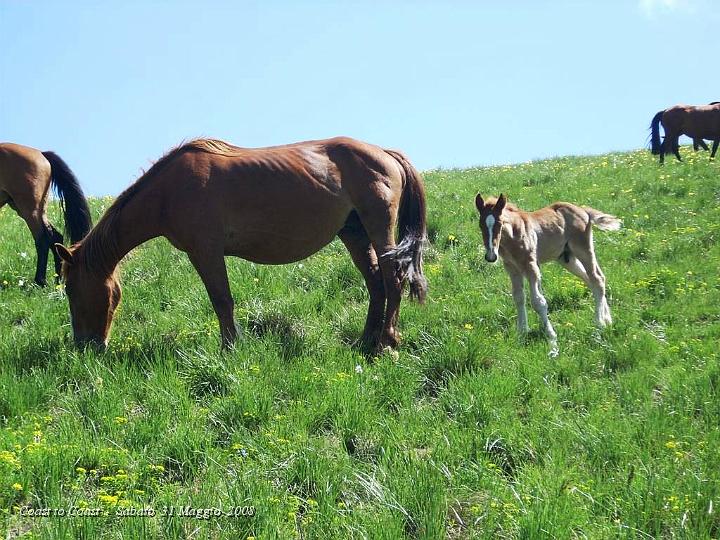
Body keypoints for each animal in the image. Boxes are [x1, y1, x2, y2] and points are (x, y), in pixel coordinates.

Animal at [0, 143, 93, 286]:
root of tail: (41, 153)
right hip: (35, 209)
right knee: (55, 237)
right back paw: (58, 280)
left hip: (30, 209)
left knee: (43, 239)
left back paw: (40, 281)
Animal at [57, 137, 428, 352]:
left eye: (70, 289)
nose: (86, 346)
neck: (169, 191)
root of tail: (385, 154)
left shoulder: (205, 251)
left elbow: (221, 300)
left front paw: (230, 348)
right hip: (353, 233)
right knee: (375, 283)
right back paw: (366, 340)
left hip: (379, 227)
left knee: (392, 279)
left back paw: (386, 342)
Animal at [476, 194, 620, 354]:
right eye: (481, 225)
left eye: (500, 224)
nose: (491, 256)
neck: (513, 236)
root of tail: (583, 211)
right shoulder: (512, 268)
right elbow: (519, 298)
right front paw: (522, 333)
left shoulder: (531, 266)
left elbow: (538, 302)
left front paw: (552, 341)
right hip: (567, 259)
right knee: (593, 280)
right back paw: (608, 320)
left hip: (583, 250)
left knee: (597, 279)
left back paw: (599, 324)